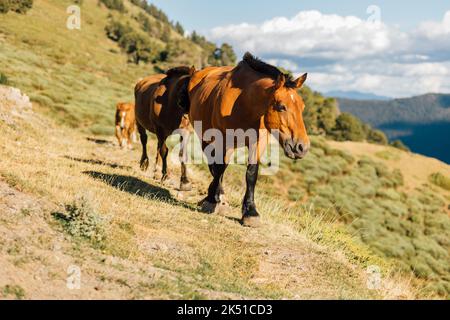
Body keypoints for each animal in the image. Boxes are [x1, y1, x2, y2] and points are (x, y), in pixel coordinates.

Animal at [186, 52, 310, 226]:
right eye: (281, 106)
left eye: (302, 107)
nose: (301, 147)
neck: (243, 103)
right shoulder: (223, 139)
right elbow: (219, 167)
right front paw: (211, 200)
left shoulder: (258, 142)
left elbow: (251, 173)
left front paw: (250, 212)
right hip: (205, 136)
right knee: (214, 165)